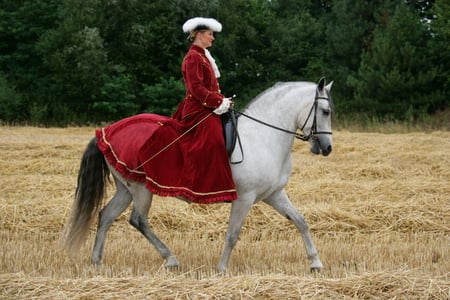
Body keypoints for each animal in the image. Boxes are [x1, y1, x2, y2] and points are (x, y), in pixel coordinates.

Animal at [61, 77, 332, 272]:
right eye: (326, 111)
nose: (327, 148)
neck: (263, 137)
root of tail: (108, 131)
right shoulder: (245, 198)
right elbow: (233, 234)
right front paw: (222, 268)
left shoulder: (274, 194)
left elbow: (300, 221)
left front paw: (316, 263)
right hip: (140, 189)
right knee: (138, 220)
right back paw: (170, 258)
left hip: (126, 189)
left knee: (106, 216)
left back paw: (97, 262)